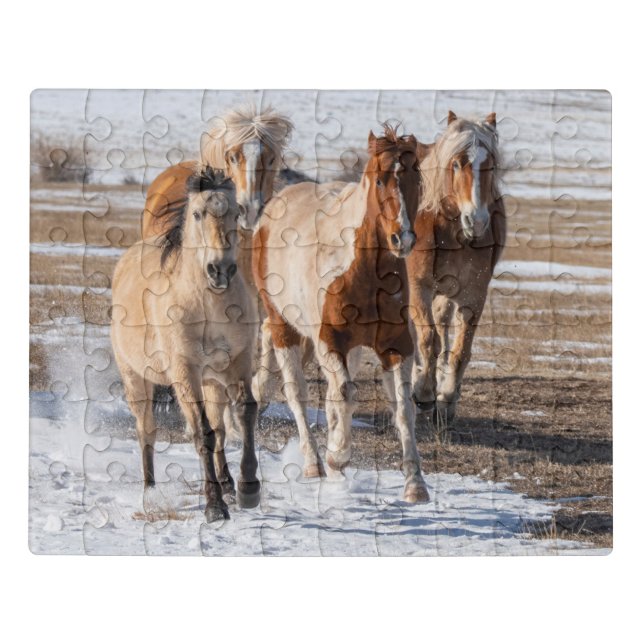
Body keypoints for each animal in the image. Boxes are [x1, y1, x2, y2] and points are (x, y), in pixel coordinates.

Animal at [111, 168, 260, 522]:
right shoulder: (185, 372)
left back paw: (228, 483)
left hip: (213, 381)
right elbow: (202, 433)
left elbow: (245, 412)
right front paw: (214, 507)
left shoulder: (238, 361)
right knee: (146, 430)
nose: (220, 270)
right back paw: (150, 492)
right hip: (136, 379)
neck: (209, 305)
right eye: (197, 214)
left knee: (220, 427)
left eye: (236, 212)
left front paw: (248, 490)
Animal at [253, 124, 429, 504]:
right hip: (284, 326)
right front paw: (337, 455)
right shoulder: (329, 340)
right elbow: (346, 392)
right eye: (379, 179)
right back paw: (314, 463)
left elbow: (402, 408)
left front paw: (415, 484)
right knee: (296, 392)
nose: (403, 238)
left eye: (416, 177)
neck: (361, 270)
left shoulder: (396, 344)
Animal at [407, 111, 506, 426]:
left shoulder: (473, 293)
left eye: (491, 164)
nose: (476, 221)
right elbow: (428, 340)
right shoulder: (418, 286)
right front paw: (424, 392)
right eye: (455, 163)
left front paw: (447, 397)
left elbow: (460, 349)